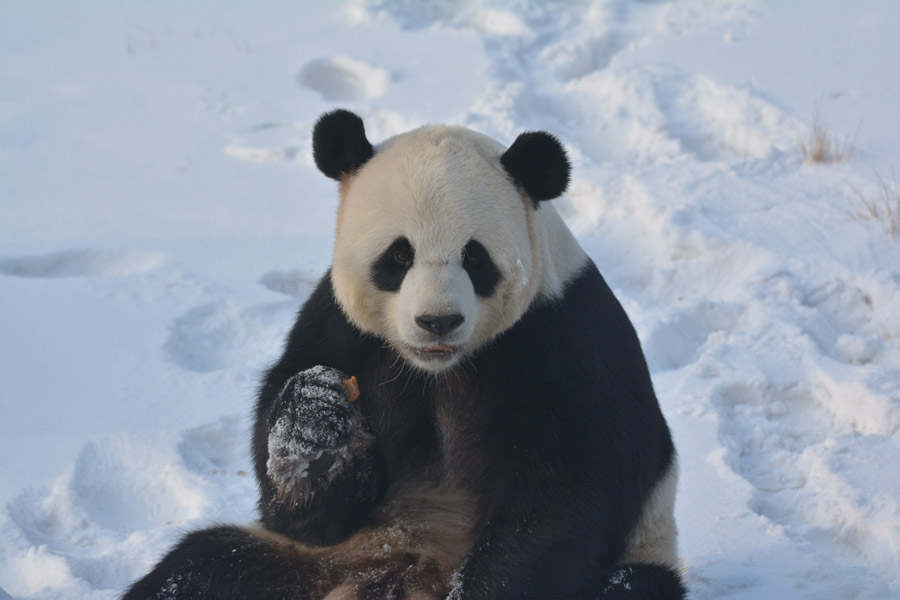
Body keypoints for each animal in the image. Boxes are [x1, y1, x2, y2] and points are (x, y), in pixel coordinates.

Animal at [124, 110, 684, 600]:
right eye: (399, 255)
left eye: (474, 257)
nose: (438, 321)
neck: (439, 368)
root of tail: (400, 573)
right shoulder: (339, 328)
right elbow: (304, 506)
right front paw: (314, 420)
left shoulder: (566, 339)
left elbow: (562, 497)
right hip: (313, 560)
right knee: (204, 567)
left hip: (646, 551)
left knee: (630, 586)